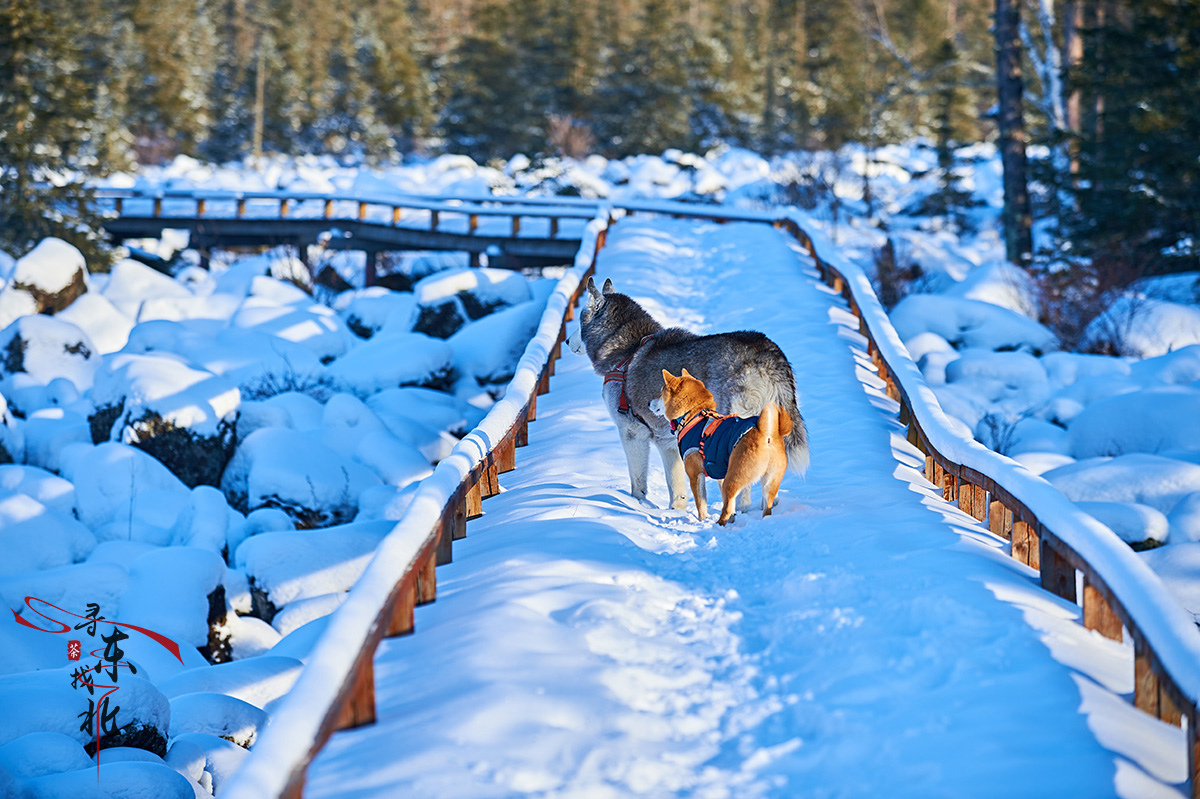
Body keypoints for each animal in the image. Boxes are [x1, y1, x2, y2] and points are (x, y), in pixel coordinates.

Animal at [568, 277, 811, 506]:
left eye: (579, 319)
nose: (568, 341)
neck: (627, 350)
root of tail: (768, 351)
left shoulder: (632, 432)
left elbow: (638, 483)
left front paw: (639, 505)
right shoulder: (668, 440)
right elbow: (677, 488)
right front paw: (676, 510)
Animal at [652, 367, 792, 523]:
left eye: (661, 392)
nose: (649, 403)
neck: (692, 415)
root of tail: (766, 434)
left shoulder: (696, 475)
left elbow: (701, 504)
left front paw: (703, 520)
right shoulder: (720, 474)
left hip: (734, 478)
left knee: (727, 508)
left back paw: (718, 524)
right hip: (769, 482)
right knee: (764, 508)